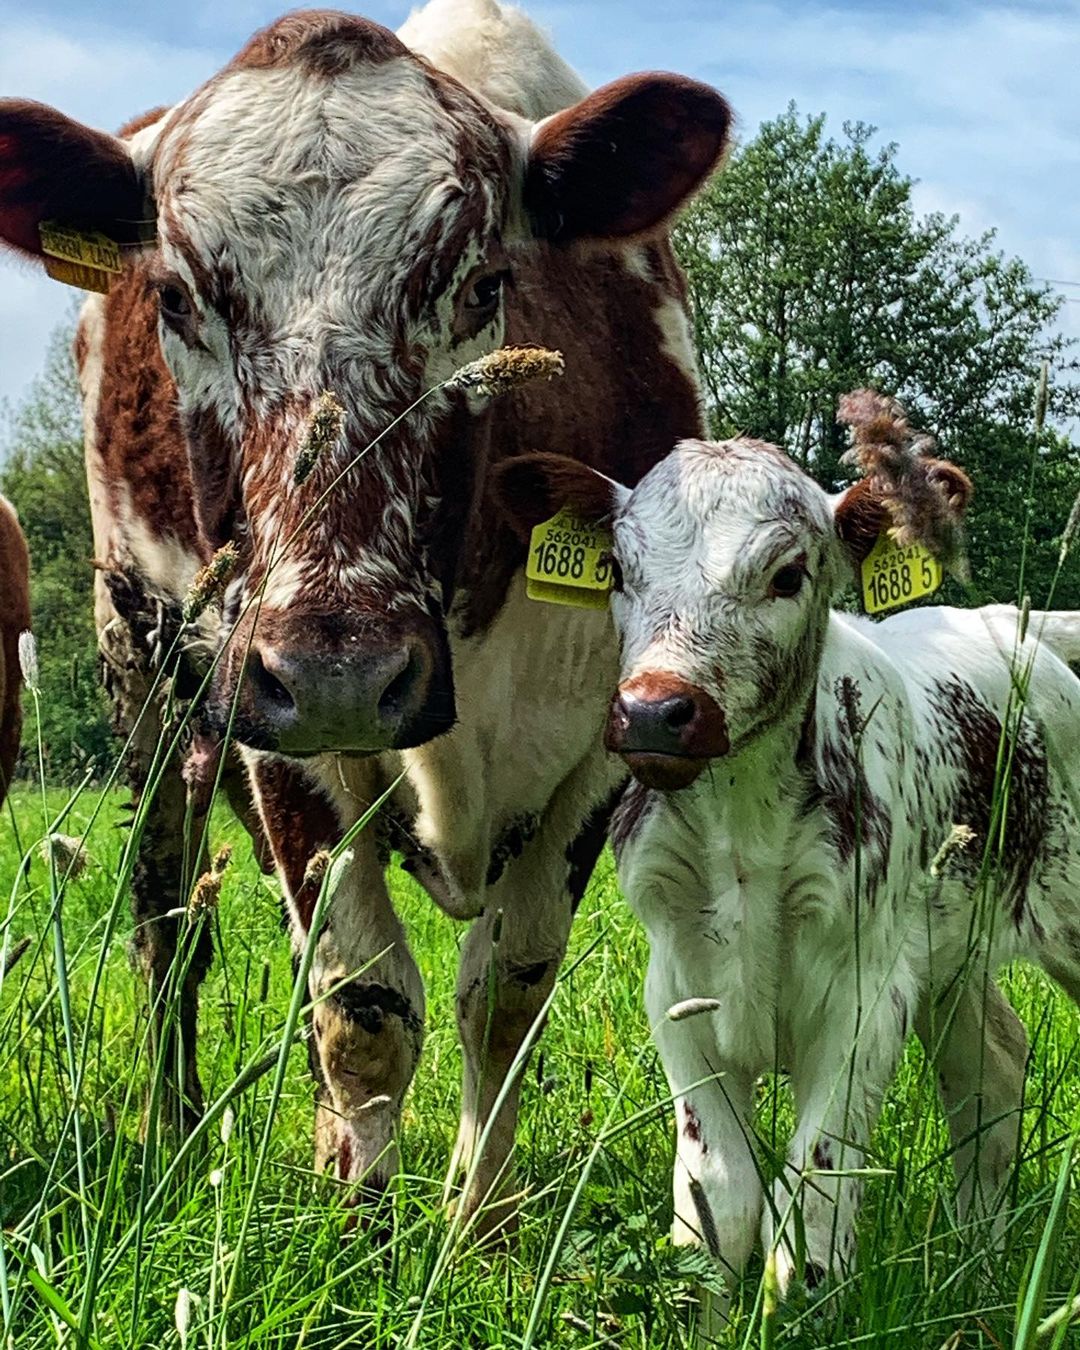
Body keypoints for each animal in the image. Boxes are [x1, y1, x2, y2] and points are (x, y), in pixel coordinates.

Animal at [0, 0, 729, 1225]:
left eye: (483, 286)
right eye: (177, 296)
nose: (343, 670)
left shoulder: (599, 742)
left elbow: (506, 994)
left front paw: (475, 1222)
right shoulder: (279, 726)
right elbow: (363, 1003)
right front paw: (363, 1227)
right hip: (144, 667)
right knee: (167, 925)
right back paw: (178, 1134)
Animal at [494, 399, 1080, 1296]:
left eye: (787, 575)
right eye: (620, 573)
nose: (654, 710)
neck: (743, 838)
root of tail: (1005, 620)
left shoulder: (867, 993)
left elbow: (811, 1204)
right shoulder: (678, 986)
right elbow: (719, 1200)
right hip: (951, 947)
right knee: (993, 1062)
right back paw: (975, 1257)